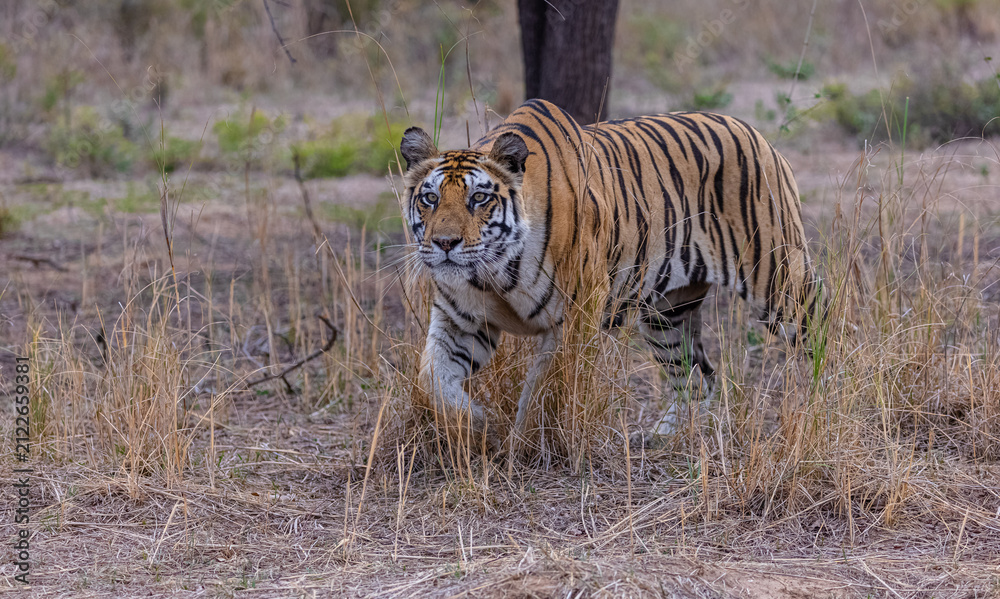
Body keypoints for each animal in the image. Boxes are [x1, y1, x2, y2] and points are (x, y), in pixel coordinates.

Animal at [399, 99, 822, 443]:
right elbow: (432, 380)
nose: (445, 243)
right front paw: (475, 425)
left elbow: (542, 390)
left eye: (479, 198)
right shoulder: (461, 322)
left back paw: (825, 404)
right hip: (666, 315)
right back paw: (663, 436)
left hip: (779, 281)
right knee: (697, 376)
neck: (494, 273)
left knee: (819, 342)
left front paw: (525, 444)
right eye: (430, 198)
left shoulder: (574, 318)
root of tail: (751, 130)